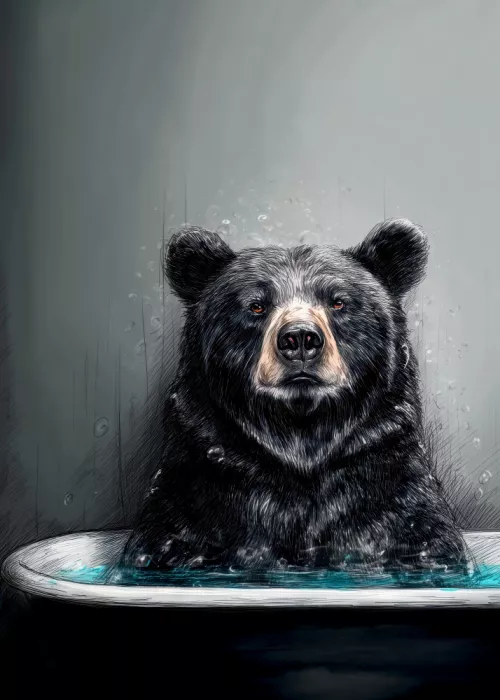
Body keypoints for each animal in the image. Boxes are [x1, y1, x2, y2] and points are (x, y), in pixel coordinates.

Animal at [122, 218, 468, 575]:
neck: (300, 440)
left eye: (338, 301)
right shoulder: (198, 491)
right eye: (256, 305)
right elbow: (171, 537)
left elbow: (419, 537)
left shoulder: (386, 488)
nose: (299, 338)